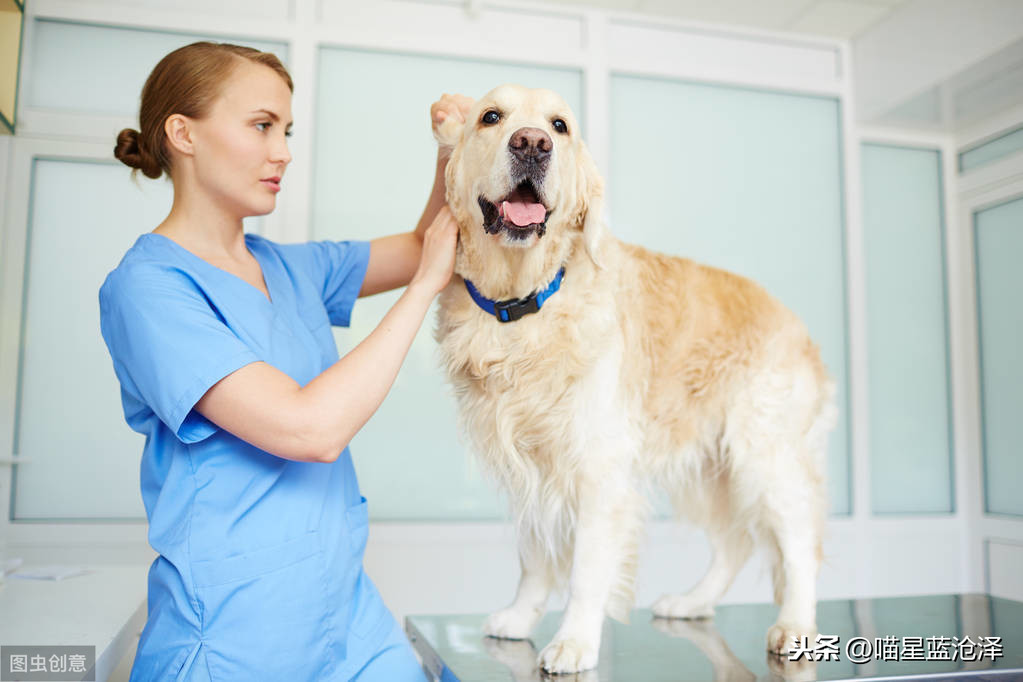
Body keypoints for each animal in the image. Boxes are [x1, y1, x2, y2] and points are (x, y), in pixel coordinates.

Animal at [431, 83, 838, 670]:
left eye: (559, 126)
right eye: (490, 116)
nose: (531, 144)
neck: (526, 307)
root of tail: (798, 325)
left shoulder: (598, 468)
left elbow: (585, 570)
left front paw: (575, 641)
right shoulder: (532, 465)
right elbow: (534, 558)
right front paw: (520, 617)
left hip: (765, 454)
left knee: (801, 543)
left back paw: (797, 626)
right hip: (708, 466)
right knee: (735, 544)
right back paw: (692, 602)